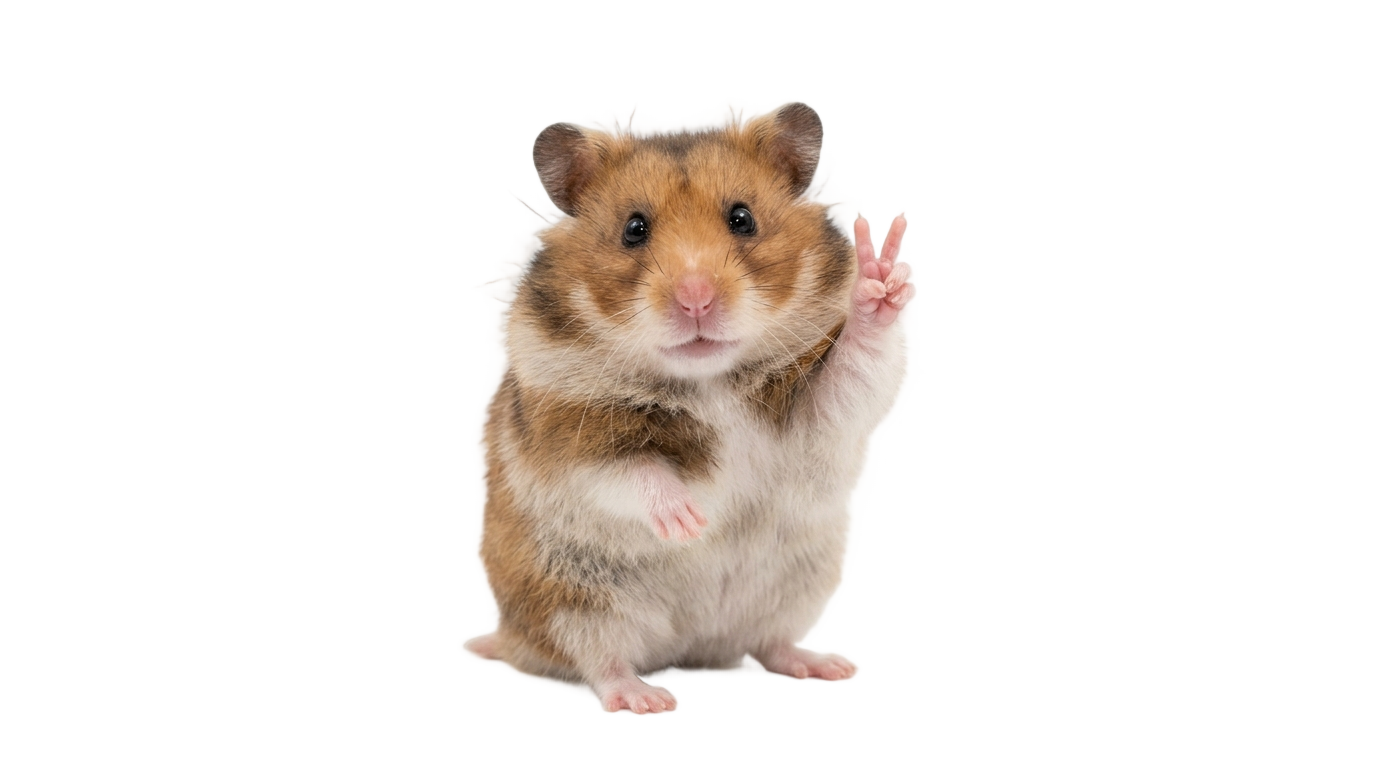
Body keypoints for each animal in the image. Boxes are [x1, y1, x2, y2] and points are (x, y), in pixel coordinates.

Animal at [464, 103, 912, 712]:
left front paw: (879, 278)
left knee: (767, 644)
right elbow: (627, 471)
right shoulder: (565, 436)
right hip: (573, 602)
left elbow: (847, 377)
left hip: (796, 585)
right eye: (633, 229)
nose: (696, 300)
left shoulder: (814, 413)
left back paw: (823, 667)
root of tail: (687, 645)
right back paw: (648, 703)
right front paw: (691, 522)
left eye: (742, 218)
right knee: (601, 664)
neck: (708, 381)